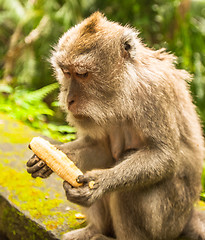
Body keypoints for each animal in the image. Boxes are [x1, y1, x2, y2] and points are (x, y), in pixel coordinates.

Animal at [26, 11, 204, 240]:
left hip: (169, 222)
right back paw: (95, 230)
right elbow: (99, 147)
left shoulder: (156, 91)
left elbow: (163, 156)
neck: (124, 89)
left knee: (130, 188)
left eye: (82, 74)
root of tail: (189, 217)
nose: (69, 99)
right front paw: (46, 158)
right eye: (66, 72)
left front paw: (99, 184)